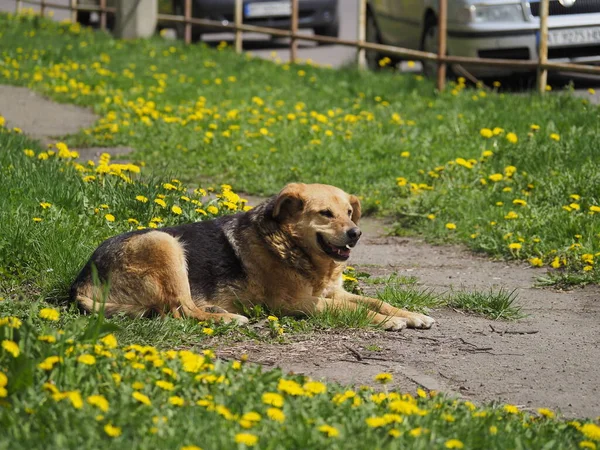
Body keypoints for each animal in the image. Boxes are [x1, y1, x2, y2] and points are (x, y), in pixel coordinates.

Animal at [71, 182, 436, 330]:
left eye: (349, 212)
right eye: (325, 214)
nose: (355, 234)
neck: (289, 245)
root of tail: (81, 282)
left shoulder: (333, 292)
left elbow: (375, 301)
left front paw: (410, 314)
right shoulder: (299, 303)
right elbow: (356, 310)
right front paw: (390, 322)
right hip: (166, 243)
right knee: (180, 310)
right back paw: (227, 318)